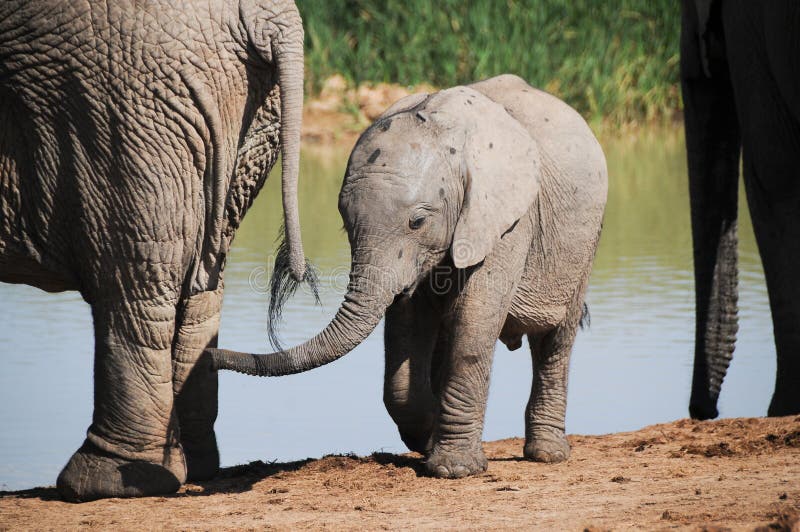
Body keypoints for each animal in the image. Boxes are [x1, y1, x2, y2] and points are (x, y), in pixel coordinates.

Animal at [0, 0, 310, 500]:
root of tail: (270, 13)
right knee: (201, 281)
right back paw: (192, 466)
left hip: (121, 111)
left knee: (131, 279)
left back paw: (106, 481)